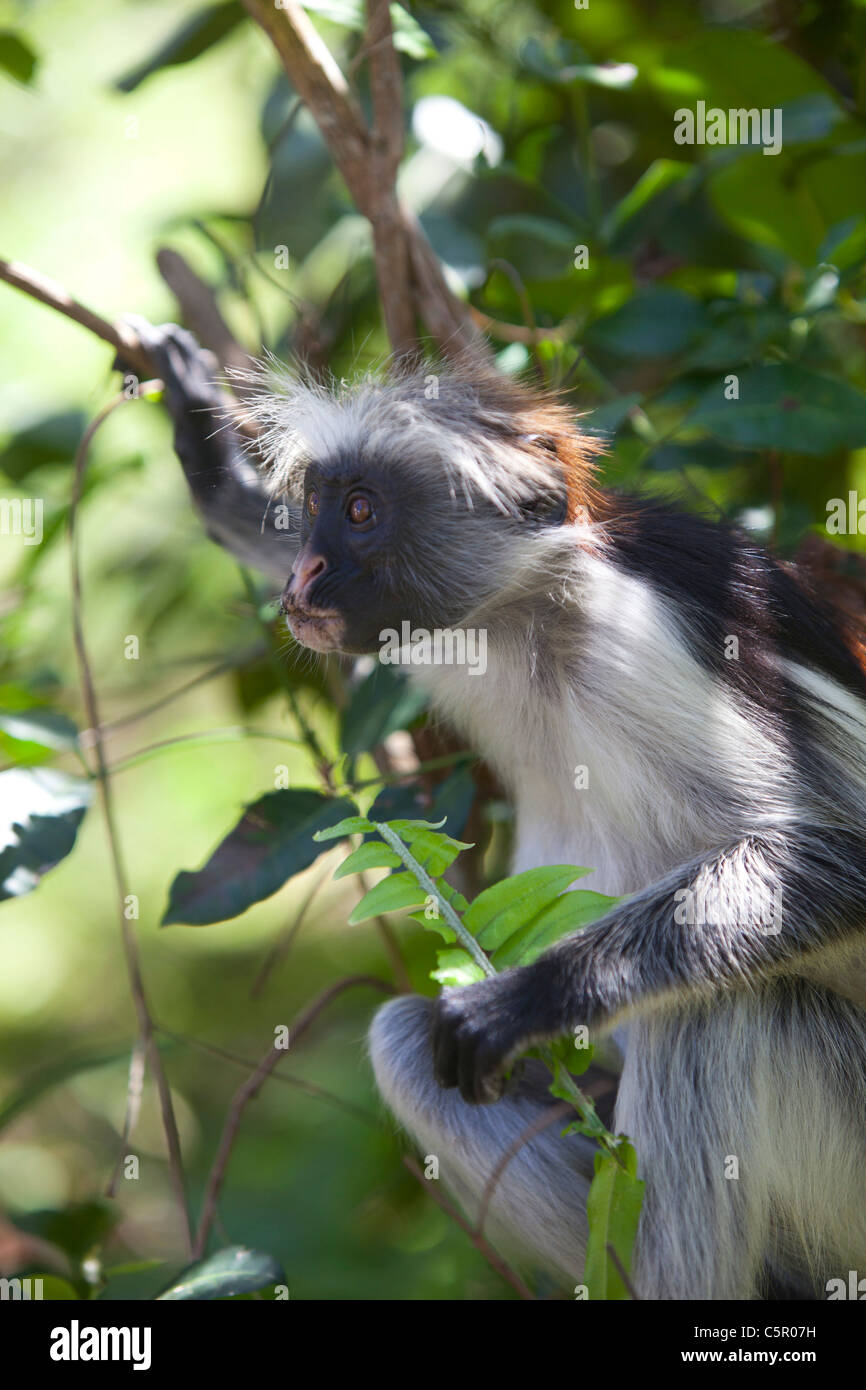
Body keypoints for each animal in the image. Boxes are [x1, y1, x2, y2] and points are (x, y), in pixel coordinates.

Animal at [136, 319, 866, 1295]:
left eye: (361, 512)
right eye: (318, 503)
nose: (305, 572)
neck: (532, 620)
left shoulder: (639, 639)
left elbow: (840, 857)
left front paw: (533, 996)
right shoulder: (448, 622)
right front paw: (213, 465)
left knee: (715, 1016)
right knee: (409, 1043)